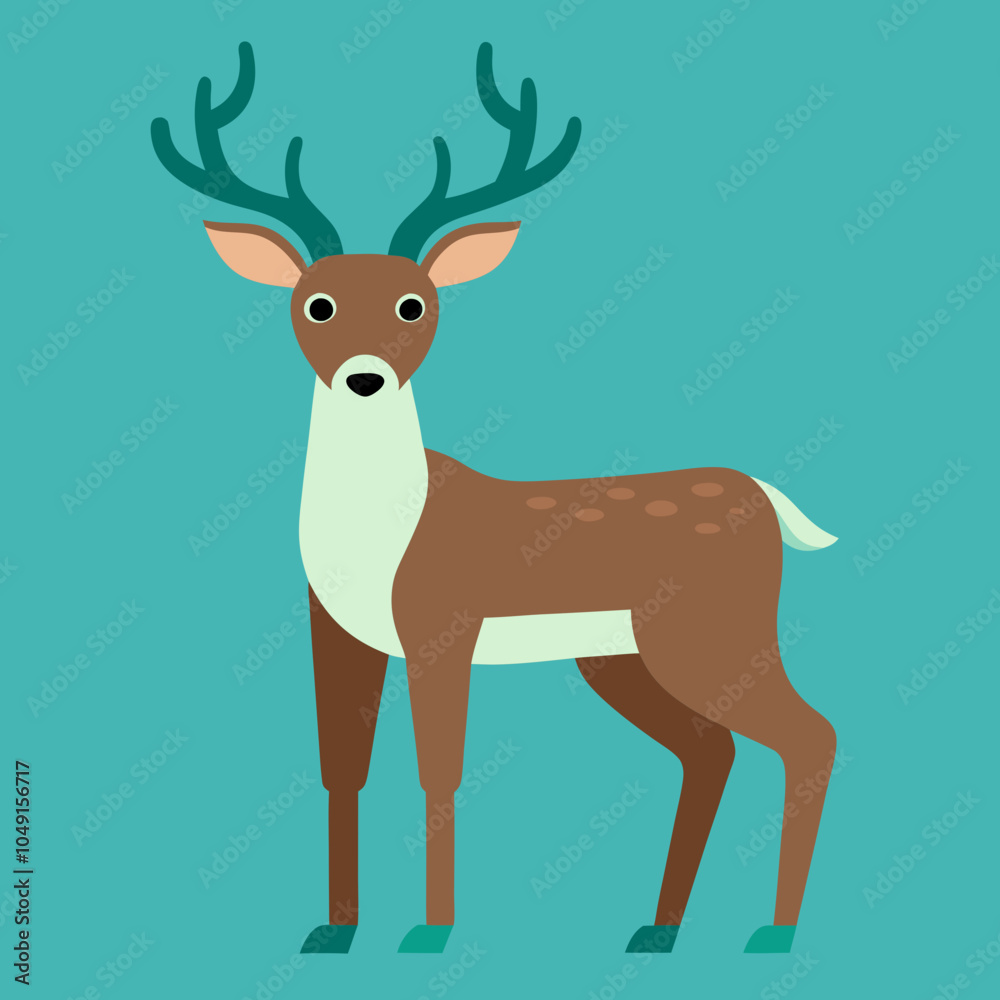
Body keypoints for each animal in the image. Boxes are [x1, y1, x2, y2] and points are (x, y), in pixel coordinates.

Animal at [151, 41, 838, 956]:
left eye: (415, 303)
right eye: (316, 304)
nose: (364, 377)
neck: (378, 534)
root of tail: (766, 497)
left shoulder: (442, 624)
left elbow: (438, 768)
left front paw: (429, 932)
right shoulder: (335, 630)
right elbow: (342, 767)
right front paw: (333, 931)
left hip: (715, 635)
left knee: (808, 736)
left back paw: (775, 933)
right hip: (622, 656)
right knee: (711, 751)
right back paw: (658, 931)